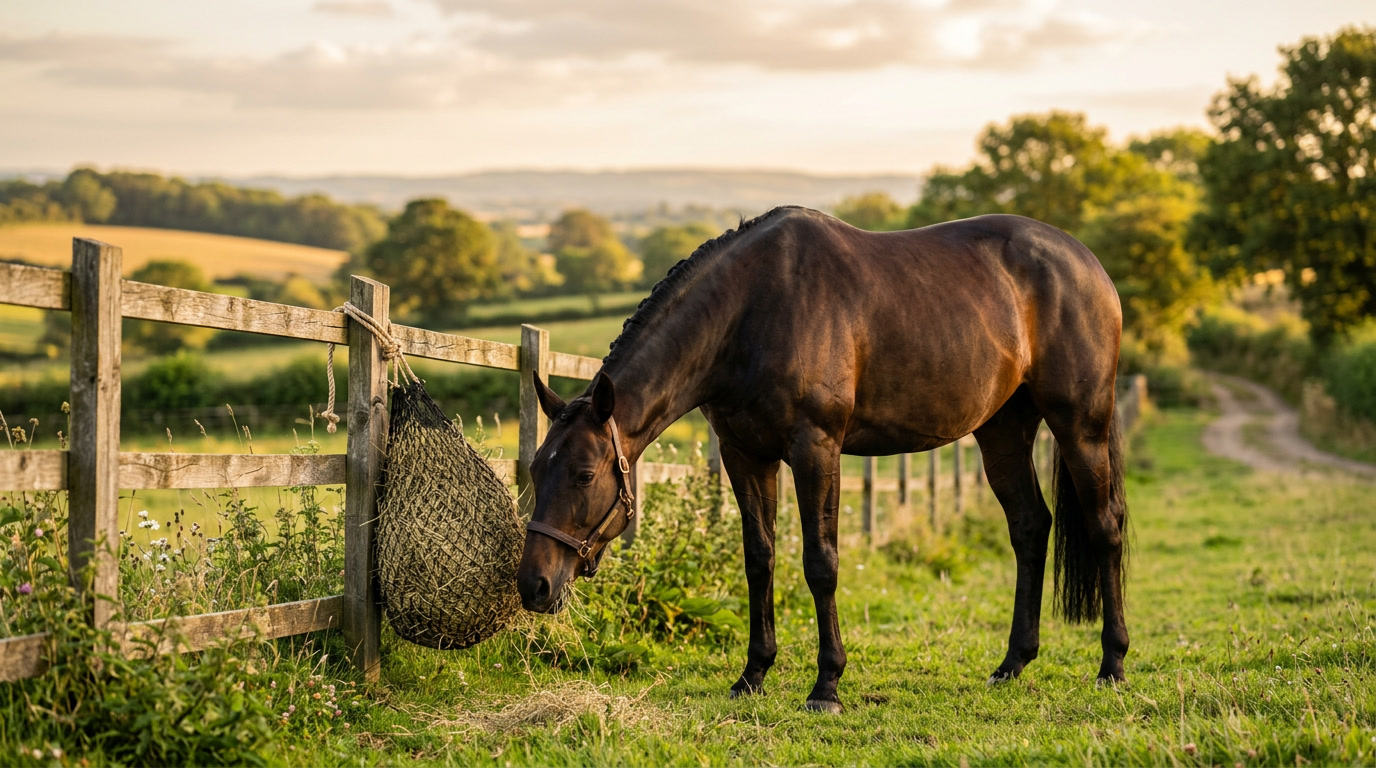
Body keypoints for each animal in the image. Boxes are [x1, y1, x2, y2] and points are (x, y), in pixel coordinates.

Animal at [517, 206, 1129, 714]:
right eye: (536, 470)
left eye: (584, 475)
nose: (533, 586)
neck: (752, 311)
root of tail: (1087, 263)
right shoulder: (745, 454)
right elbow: (759, 558)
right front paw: (753, 675)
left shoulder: (816, 449)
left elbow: (821, 562)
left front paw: (827, 686)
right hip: (1002, 431)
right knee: (1029, 527)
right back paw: (1012, 663)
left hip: (1080, 426)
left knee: (1105, 528)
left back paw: (1112, 664)